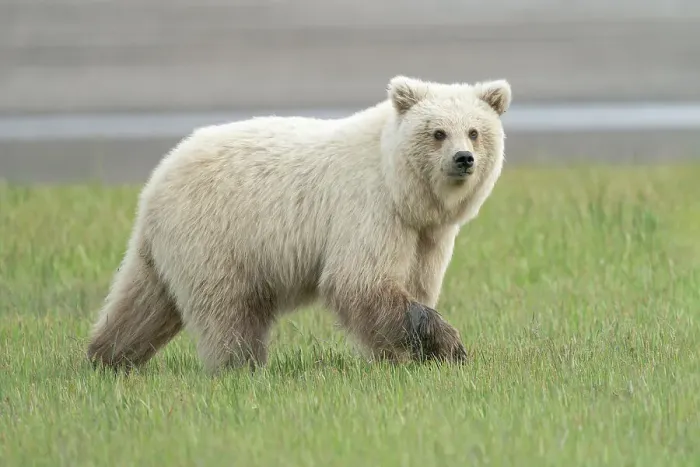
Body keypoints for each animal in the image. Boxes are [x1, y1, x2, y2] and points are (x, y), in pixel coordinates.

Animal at [86, 75, 512, 373]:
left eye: (475, 131)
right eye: (438, 132)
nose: (463, 158)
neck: (403, 190)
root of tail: (156, 180)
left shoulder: (425, 236)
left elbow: (413, 284)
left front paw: (409, 355)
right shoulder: (368, 211)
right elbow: (360, 282)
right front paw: (449, 347)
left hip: (168, 248)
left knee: (142, 303)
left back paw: (106, 357)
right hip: (217, 235)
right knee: (228, 308)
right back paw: (241, 366)